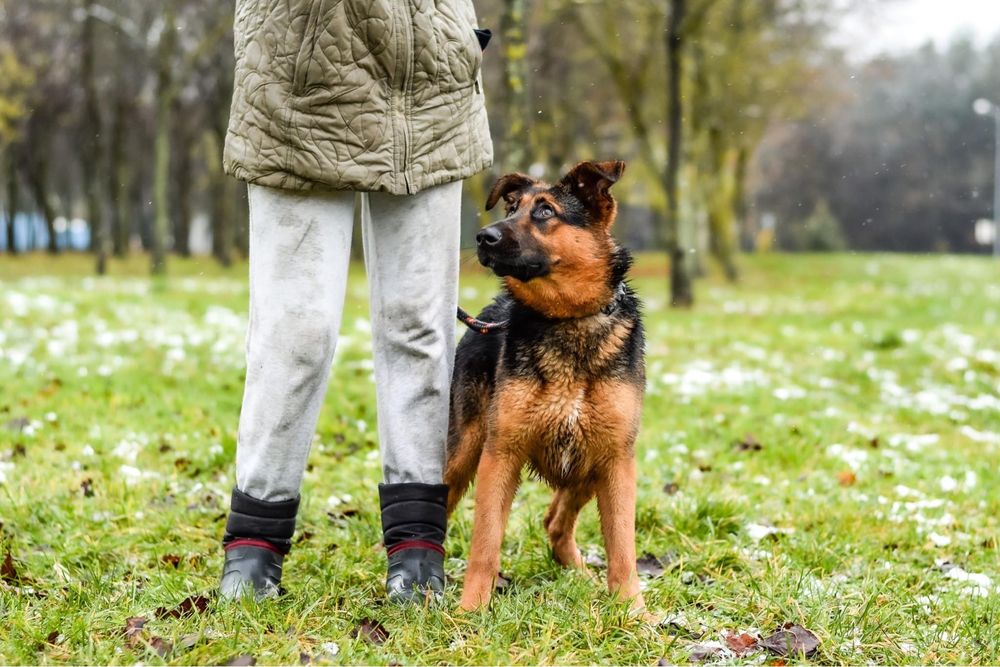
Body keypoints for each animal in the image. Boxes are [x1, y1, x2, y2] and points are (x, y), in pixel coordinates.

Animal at [446, 159, 648, 612]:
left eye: (544, 211)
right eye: (511, 207)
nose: (483, 237)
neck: (567, 319)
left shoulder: (616, 459)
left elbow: (623, 547)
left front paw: (632, 611)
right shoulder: (500, 454)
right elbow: (485, 542)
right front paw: (471, 609)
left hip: (590, 460)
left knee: (555, 520)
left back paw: (579, 574)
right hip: (462, 452)